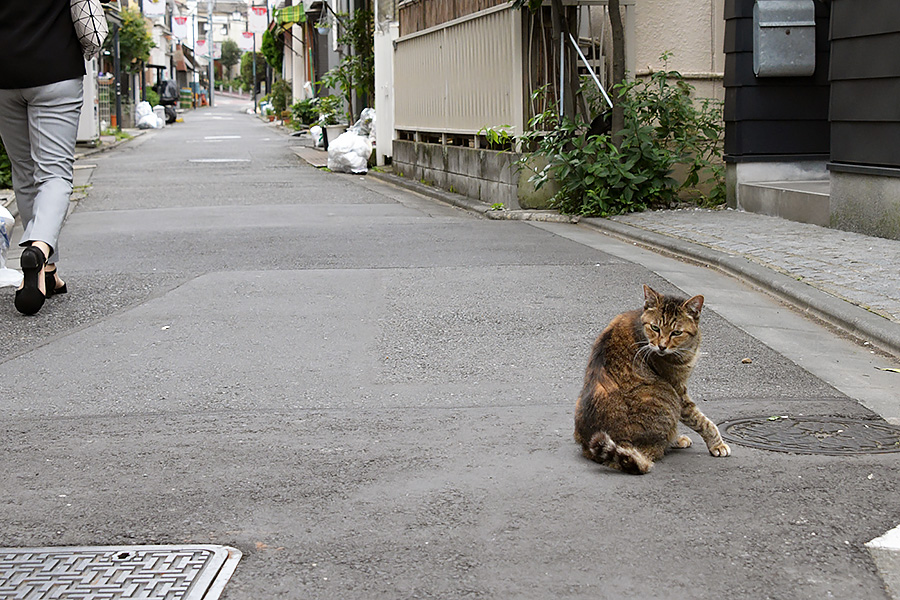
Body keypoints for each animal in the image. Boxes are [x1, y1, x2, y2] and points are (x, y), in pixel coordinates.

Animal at [576, 284, 732, 476]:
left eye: (676, 332)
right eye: (655, 328)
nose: (662, 346)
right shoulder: (679, 390)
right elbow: (703, 421)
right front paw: (717, 444)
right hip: (669, 398)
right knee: (656, 447)